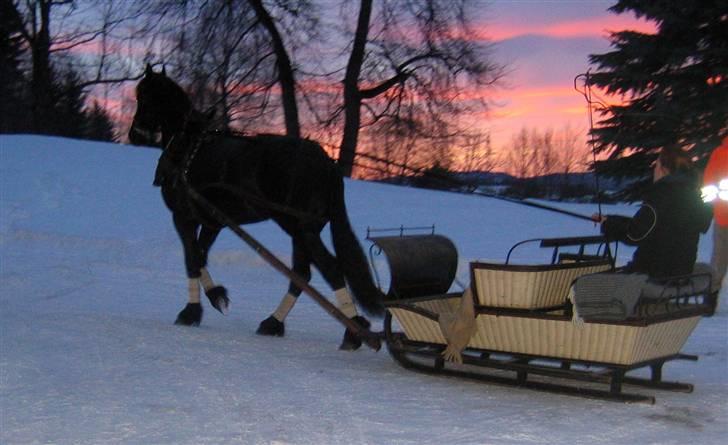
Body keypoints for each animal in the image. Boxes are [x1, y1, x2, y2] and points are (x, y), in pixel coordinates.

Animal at [129, 65, 384, 350]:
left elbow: (192, 259)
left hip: (300, 228)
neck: (188, 146)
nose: (134, 134)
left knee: (329, 269)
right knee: (301, 274)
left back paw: (354, 331)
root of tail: (327, 164)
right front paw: (216, 295)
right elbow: (201, 256)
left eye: (143, 96)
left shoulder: (183, 216)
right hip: (302, 230)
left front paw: (191, 312)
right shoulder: (212, 222)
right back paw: (274, 323)